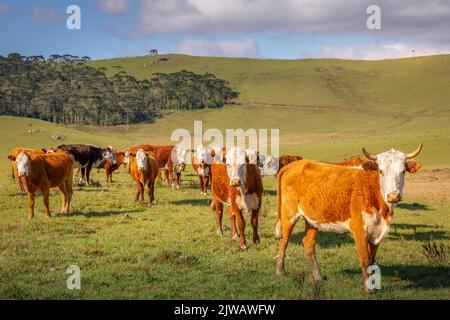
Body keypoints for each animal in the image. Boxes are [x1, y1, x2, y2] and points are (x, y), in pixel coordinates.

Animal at [274, 144, 422, 292]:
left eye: (403, 171)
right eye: (381, 171)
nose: (393, 196)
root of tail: (293, 165)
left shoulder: (376, 231)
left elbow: (371, 260)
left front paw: (371, 285)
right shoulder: (359, 229)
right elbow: (365, 260)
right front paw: (368, 290)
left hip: (312, 219)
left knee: (308, 244)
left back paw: (318, 277)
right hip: (289, 214)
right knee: (284, 241)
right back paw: (280, 271)